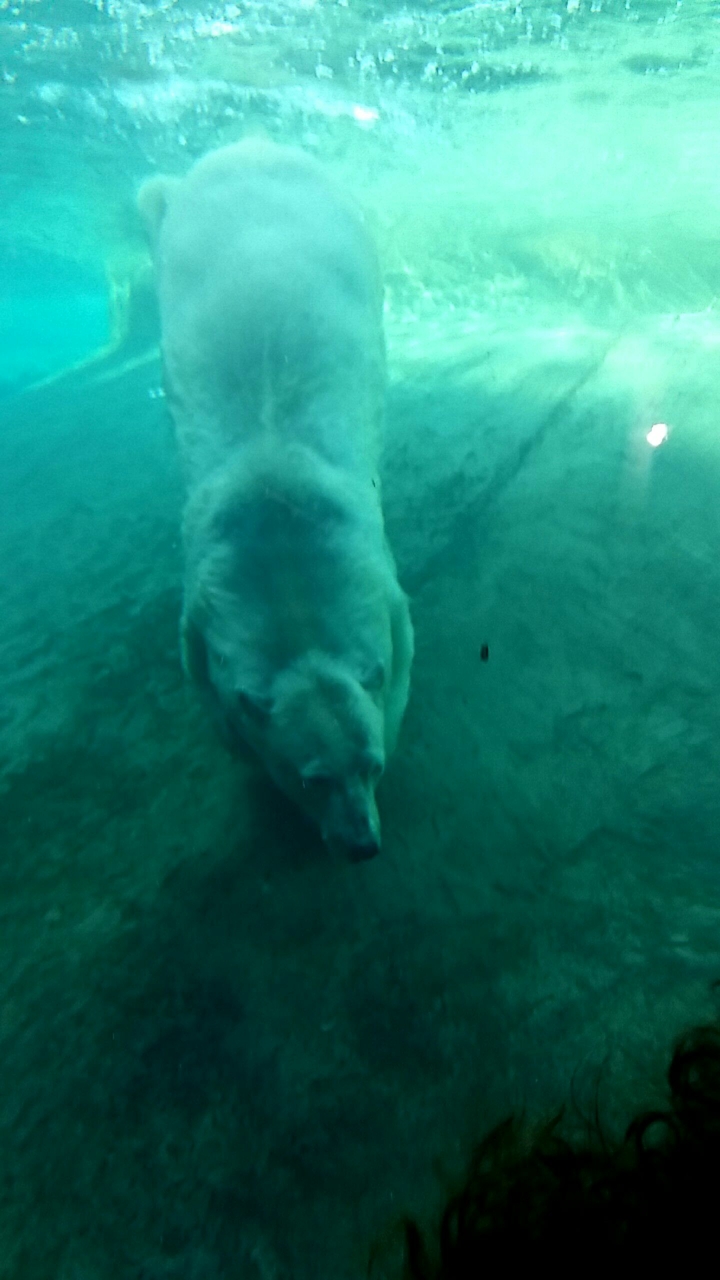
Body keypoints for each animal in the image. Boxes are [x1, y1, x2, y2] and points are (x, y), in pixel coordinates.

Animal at [138, 139, 413, 861]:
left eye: (371, 766)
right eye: (310, 778)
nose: (361, 845)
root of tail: (250, 144)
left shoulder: (375, 572)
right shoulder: (204, 592)